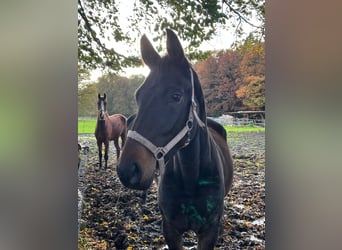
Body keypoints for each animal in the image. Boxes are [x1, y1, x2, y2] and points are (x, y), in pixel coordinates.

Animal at [117, 30, 232, 249]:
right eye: (138, 96)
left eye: (176, 96)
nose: (127, 170)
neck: (191, 175)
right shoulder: (170, 229)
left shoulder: (208, 232)